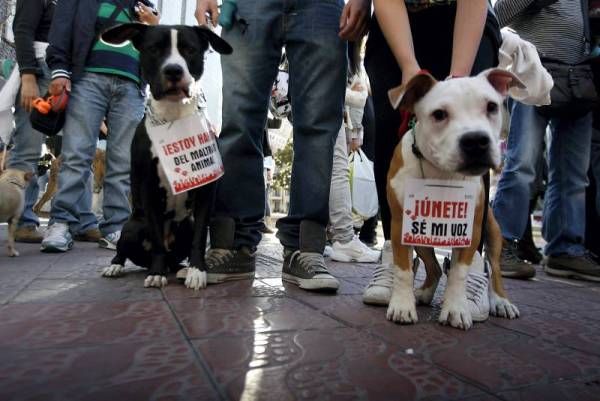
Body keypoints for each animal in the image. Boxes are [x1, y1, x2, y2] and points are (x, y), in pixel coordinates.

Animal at [101, 24, 232, 288]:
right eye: (154, 49)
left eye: (190, 49)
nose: (173, 70)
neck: (174, 115)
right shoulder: (148, 188)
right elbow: (157, 240)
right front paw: (156, 273)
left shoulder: (206, 189)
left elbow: (200, 236)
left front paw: (197, 270)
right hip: (132, 227)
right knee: (125, 248)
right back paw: (117, 266)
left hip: (185, 225)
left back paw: (178, 267)